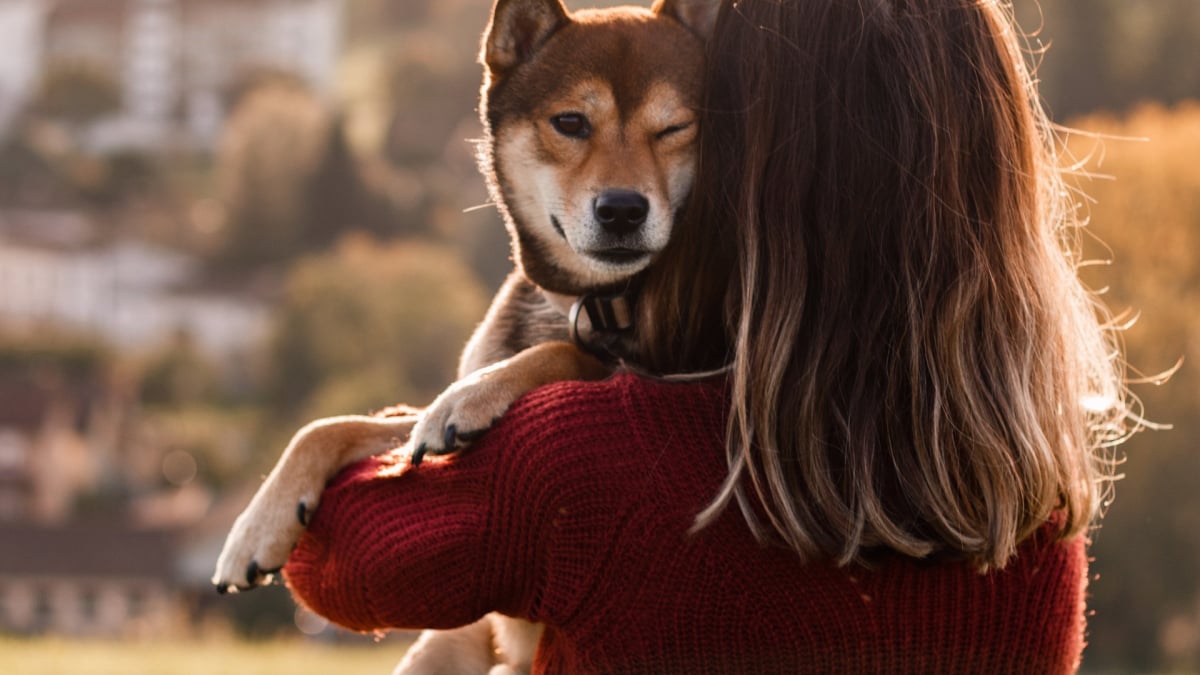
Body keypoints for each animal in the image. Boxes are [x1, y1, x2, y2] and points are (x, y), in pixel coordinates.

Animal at [212, 0, 715, 667]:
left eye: (676, 128)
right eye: (571, 122)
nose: (623, 210)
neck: (589, 303)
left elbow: (560, 353)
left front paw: (476, 397)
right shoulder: (413, 433)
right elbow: (333, 427)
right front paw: (256, 529)